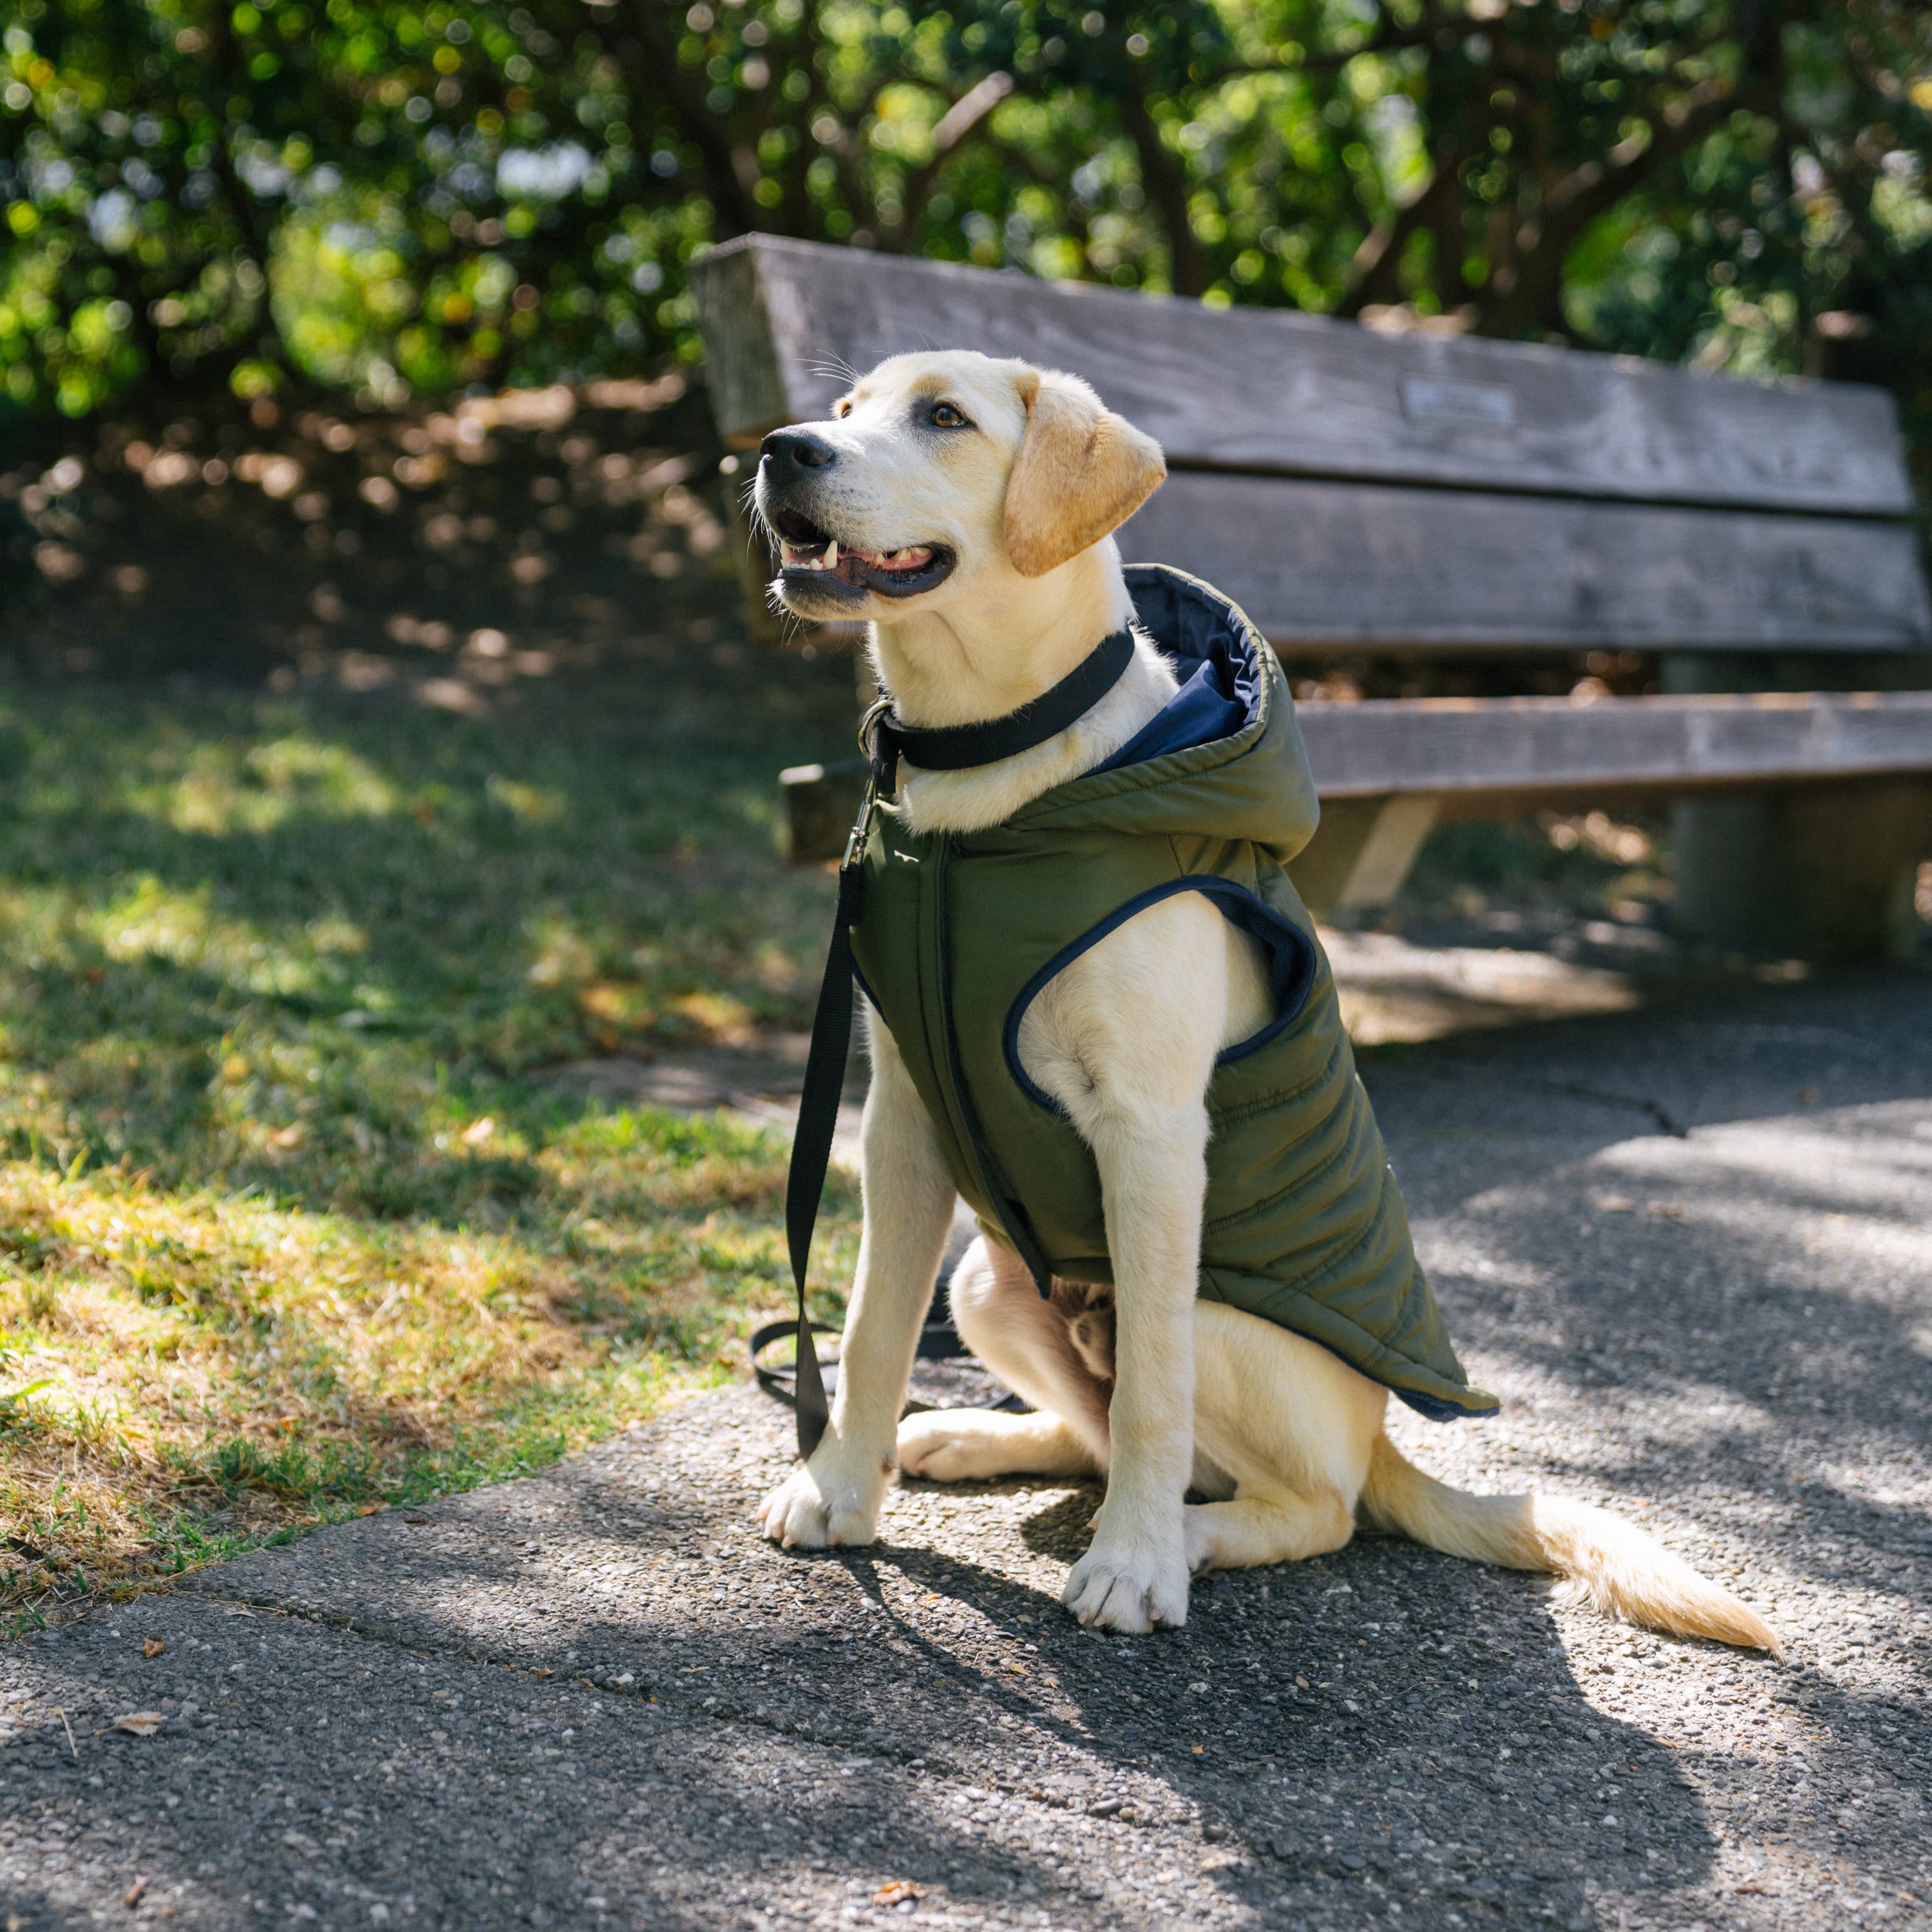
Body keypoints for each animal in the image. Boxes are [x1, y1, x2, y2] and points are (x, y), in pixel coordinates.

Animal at [746, 344, 1770, 1646]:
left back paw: (1173, 1536)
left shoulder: (1149, 1132)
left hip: (1222, 1315)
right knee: (1100, 1435)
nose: (781, 450)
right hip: (985, 1277)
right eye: (842, 411)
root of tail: (1386, 1442)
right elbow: (872, 1324)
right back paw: (971, 1437)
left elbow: (1152, 1394)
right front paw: (838, 1489)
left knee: (1296, 1498)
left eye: (942, 418)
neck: (987, 771)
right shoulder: (906, 1121)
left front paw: (1134, 1567)